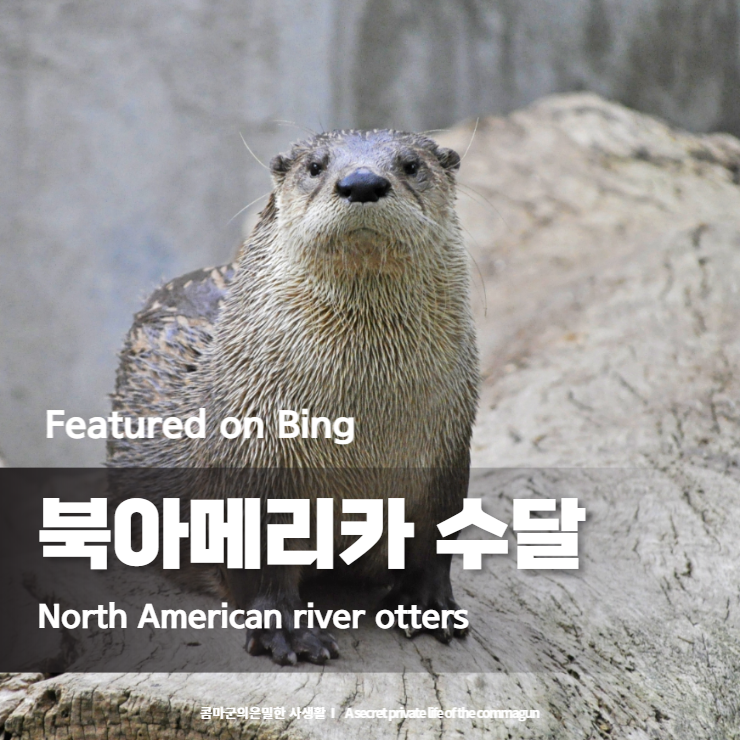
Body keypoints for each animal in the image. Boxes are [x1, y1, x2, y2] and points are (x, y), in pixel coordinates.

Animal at [109, 129, 479, 665]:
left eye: (412, 165)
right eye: (315, 166)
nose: (361, 181)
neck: (361, 441)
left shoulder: (447, 456)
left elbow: (434, 544)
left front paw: (429, 606)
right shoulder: (251, 458)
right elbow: (258, 562)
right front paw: (286, 632)